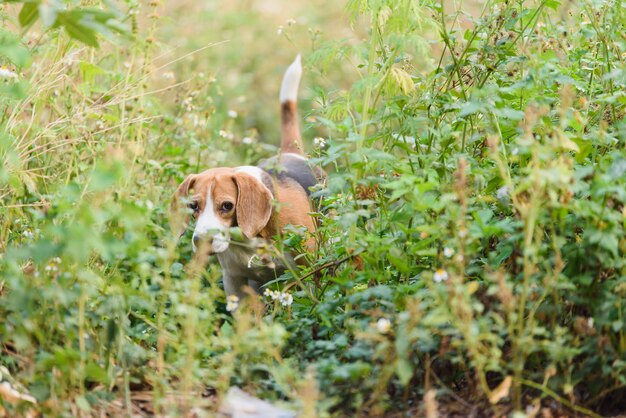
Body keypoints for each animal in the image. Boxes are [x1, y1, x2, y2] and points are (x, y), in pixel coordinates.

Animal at [174, 54, 324, 298]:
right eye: (192, 206)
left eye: (227, 206)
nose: (200, 241)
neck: (248, 239)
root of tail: (291, 152)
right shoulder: (234, 280)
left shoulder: (309, 272)